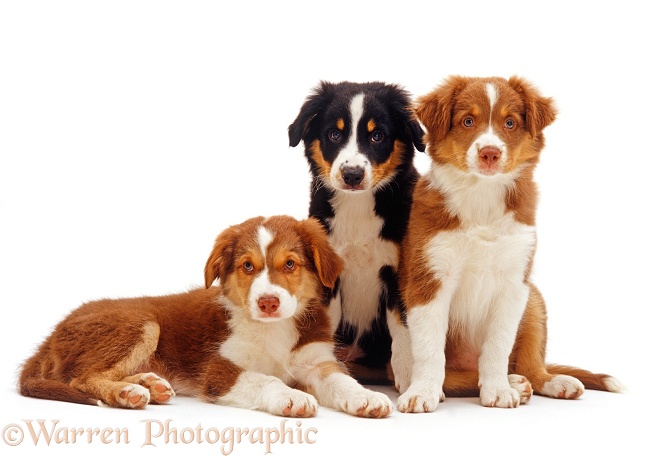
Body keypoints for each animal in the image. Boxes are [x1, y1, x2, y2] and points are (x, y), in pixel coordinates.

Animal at [18, 216, 394, 416]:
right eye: (247, 267)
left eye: (290, 264)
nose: (268, 302)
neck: (274, 329)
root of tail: (52, 334)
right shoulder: (218, 369)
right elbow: (265, 379)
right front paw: (293, 396)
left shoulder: (315, 361)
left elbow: (341, 379)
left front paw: (367, 397)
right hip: (141, 323)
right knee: (80, 378)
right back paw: (127, 393)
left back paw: (150, 384)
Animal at [288, 80, 426, 382]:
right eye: (334, 134)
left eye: (377, 136)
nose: (352, 175)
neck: (357, 206)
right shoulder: (329, 275)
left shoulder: (399, 271)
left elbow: (403, 336)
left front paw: (409, 380)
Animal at [394, 75, 624, 412]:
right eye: (467, 121)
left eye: (510, 123)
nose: (490, 153)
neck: (482, 197)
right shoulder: (429, 279)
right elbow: (429, 349)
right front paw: (422, 393)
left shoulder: (514, 283)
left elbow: (498, 345)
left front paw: (498, 390)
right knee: (453, 374)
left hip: (534, 303)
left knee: (528, 363)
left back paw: (545, 382)